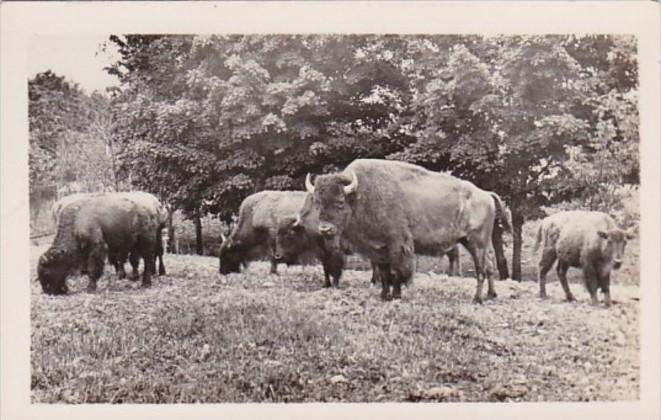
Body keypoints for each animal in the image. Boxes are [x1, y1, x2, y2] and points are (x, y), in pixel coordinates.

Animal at [300, 158, 510, 302]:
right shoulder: (379, 249)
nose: (325, 229)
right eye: (318, 203)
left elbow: (401, 272)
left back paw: (477, 299)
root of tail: (485, 194)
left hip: (476, 242)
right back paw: (491, 295)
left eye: (340, 203)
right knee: (489, 266)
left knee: (481, 268)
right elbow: (386, 274)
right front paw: (386, 296)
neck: (360, 195)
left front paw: (403, 295)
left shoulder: (399, 245)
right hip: (476, 242)